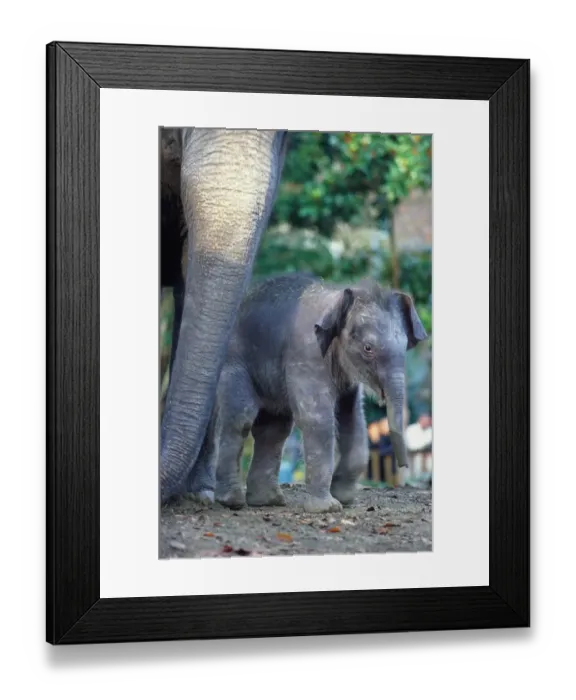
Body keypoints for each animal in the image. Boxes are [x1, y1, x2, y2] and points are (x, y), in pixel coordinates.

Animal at [203, 273, 427, 513]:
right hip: (233, 363)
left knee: (274, 430)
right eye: (368, 348)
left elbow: (353, 419)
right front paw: (327, 507)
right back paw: (232, 501)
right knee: (240, 418)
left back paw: (267, 500)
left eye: (405, 347)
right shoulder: (306, 356)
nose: (404, 465)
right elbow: (318, 419)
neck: (337, 298)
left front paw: (344, 497)